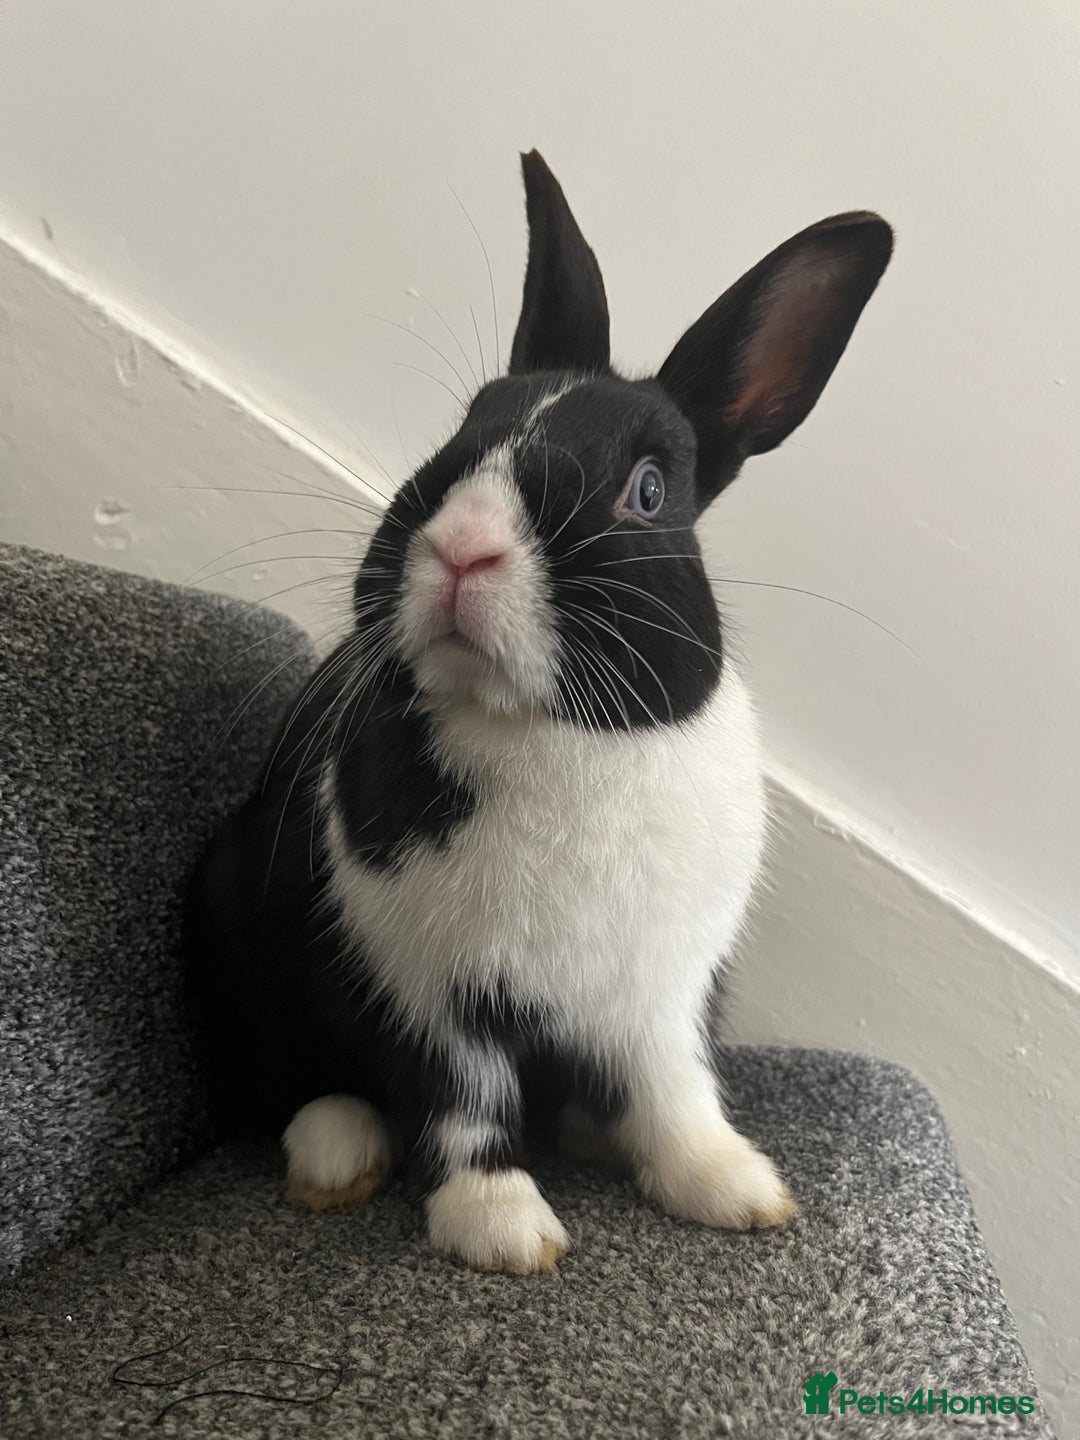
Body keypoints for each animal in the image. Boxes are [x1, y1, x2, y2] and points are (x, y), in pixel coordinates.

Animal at [186, 150, 892, 1274]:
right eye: (462, 435)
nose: (462, 547)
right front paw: (504, 1232)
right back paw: (337, 1153)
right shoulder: (428, 990)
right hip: (234, 915)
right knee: (291, 1075)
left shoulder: (663, 994)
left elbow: (677, 1095)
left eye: (648, 490)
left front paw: (737, 1192)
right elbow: (464, 1104)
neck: (550, 732)